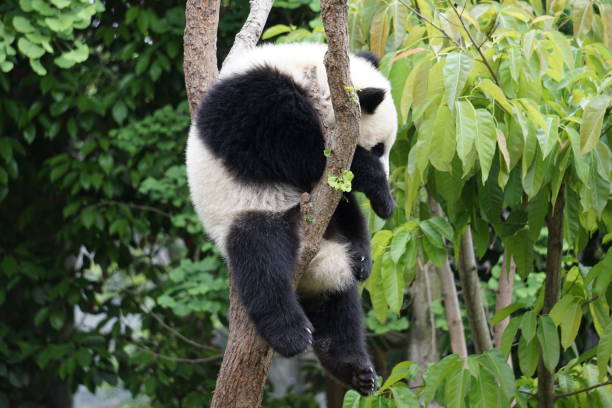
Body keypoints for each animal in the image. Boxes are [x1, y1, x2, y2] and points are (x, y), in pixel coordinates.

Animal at [186, 42, 396, 396]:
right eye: (380, 148)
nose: (388, 173)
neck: (308, 75)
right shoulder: (254, 102)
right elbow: (305, 152)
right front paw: (382, 193)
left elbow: (340, 191)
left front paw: (367, 249)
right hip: (250, 213)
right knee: (263, 263)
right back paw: (292, 335)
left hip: (326, 240)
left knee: (339, 301)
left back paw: (354, 368)